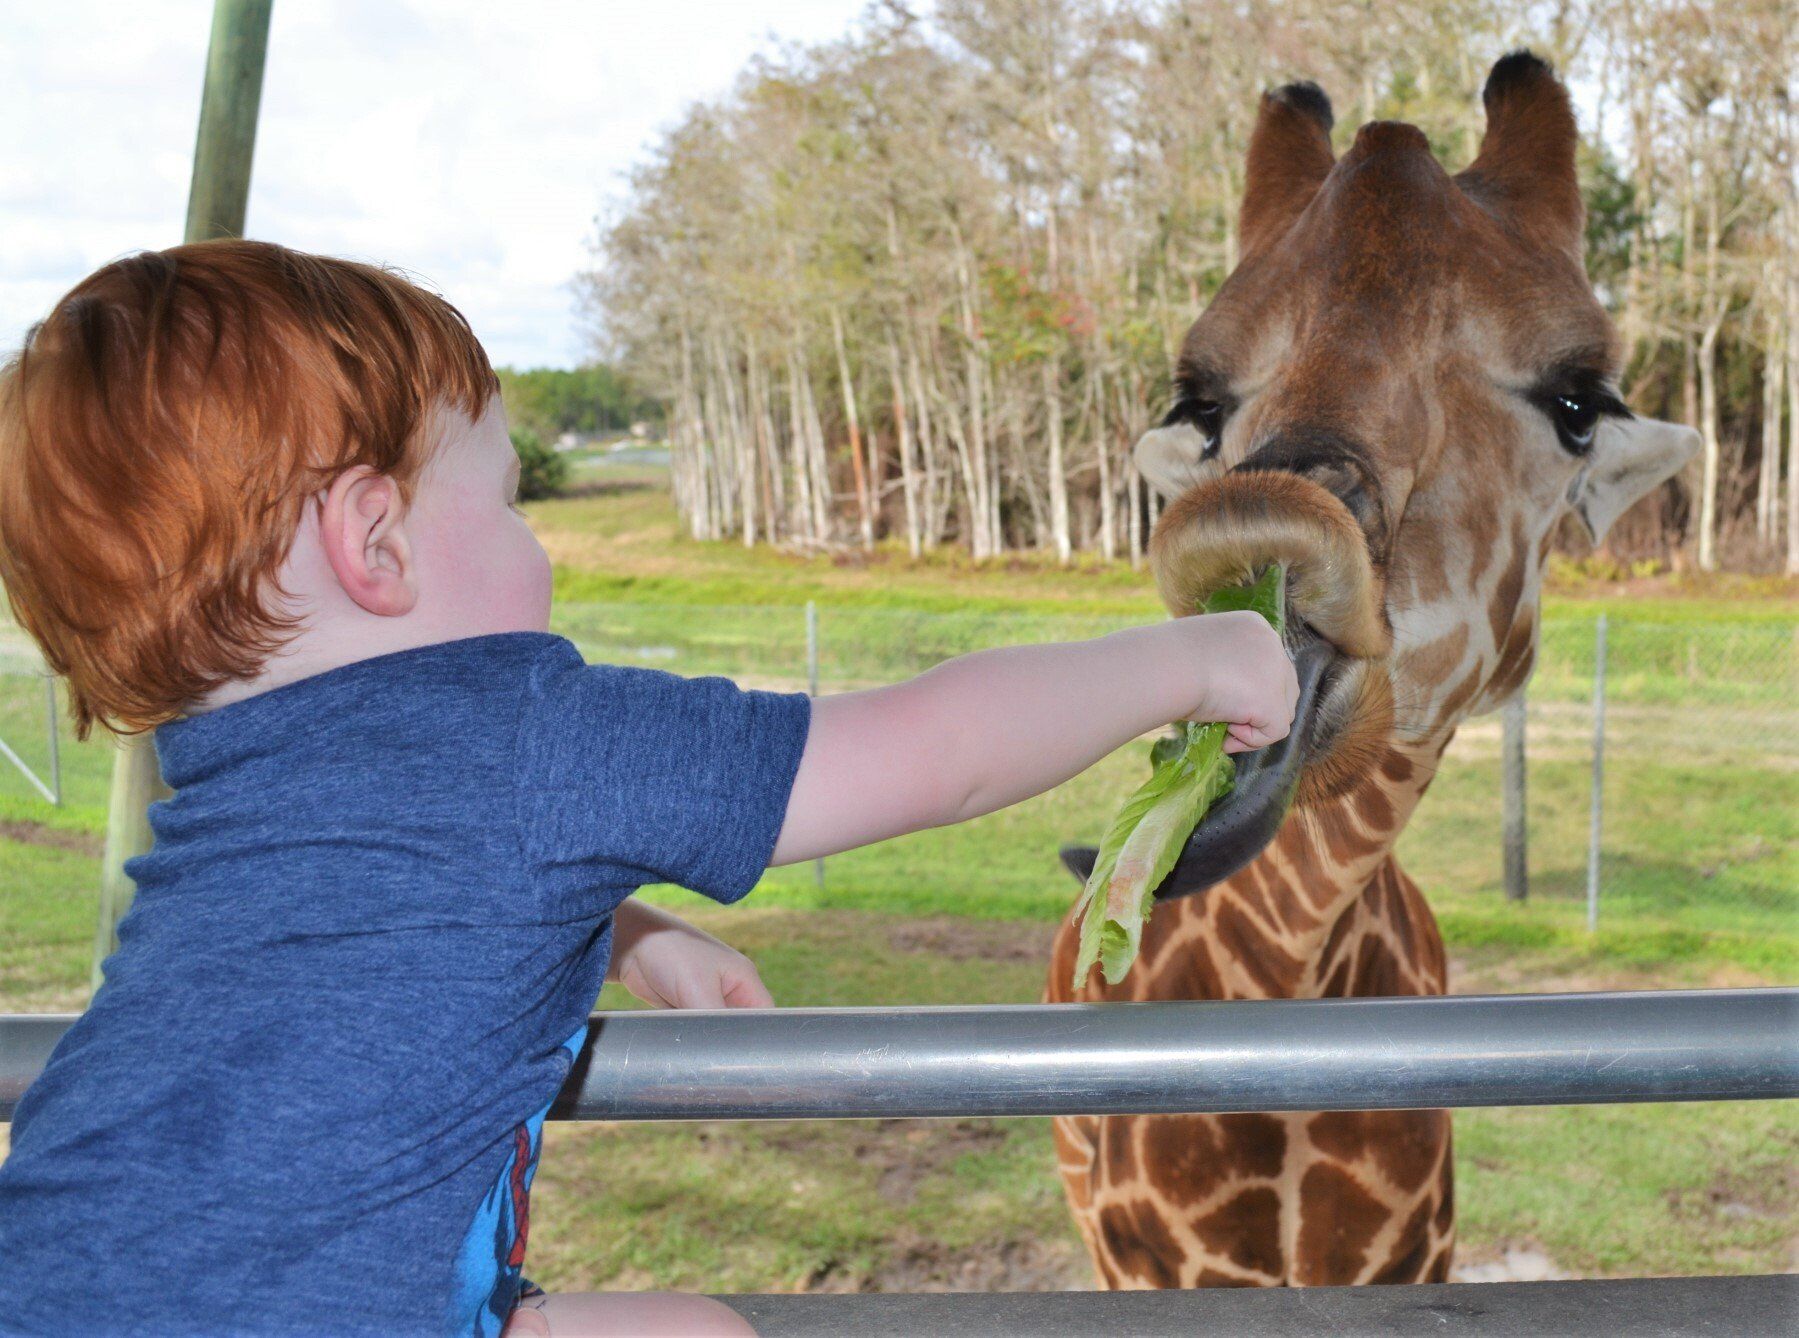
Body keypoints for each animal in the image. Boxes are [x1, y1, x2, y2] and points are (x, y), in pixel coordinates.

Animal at [1044, 52, 1699, 1289]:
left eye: (1576, 402)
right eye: (1200, 402)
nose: (1262, 556)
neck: (1287, 975)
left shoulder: (1413, 1255)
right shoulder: (1144, 1265)